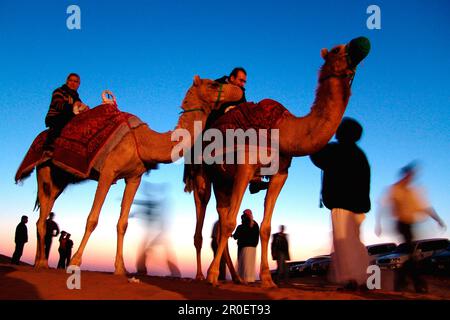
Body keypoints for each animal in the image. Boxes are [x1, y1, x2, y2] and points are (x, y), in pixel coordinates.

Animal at [23, 76, 243, 274]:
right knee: (42, 214)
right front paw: (75, 262)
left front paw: (121, 268)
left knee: (46, 209)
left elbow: (123, 223)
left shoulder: (134, 178)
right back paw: (41, 263)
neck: (143, 141)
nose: (239, 90)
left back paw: (39, 262)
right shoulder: (108, 172)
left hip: (61, 179)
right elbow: (92, 219)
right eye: (213, 84)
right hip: (44, 172)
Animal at [187, 36, 372, 286]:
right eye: (336, 50)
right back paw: (201, 275)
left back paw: (236, 277)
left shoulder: (280, 174)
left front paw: (267, 279)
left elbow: (265, 228)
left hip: (223, 181)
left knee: (220, 216)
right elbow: (230, 224)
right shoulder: (245, 166)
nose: (362, 43)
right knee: (203, 216)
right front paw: (213, 275)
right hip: (203, 176)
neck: (283, 130)